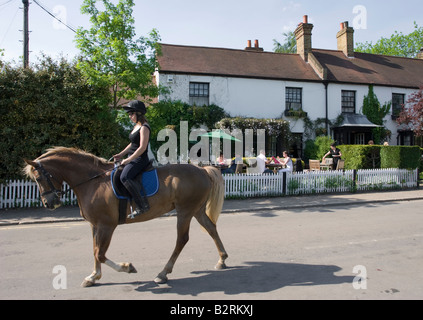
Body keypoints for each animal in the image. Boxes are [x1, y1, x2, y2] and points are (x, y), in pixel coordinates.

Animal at [23, 148, 229, 288]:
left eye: (38, 178)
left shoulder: (107, 225)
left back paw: (163, 273)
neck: (93, 182)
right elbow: (94, 250)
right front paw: (93, 276)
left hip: (185, 211)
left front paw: (127, 267)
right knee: (211, 228)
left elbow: (100, 253)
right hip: (197, 210)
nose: (49, 203)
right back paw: (222, 260)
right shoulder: (95, 225)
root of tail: (202, 170)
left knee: (182, 239)